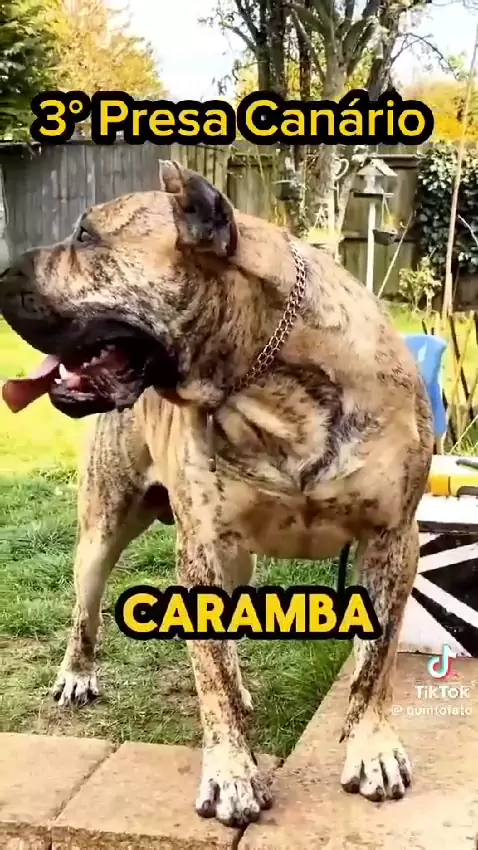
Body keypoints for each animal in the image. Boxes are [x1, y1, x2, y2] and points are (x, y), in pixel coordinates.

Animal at [0, 161, 433, 827]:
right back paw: (77, 674)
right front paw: (232, 771)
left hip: (238, 561)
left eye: (86, 237)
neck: (272, 390)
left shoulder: (392, 539)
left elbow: (374, 664)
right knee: (87, 611)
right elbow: (211, 678)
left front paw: (372, 747)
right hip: (103, 531)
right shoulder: (201, 550)